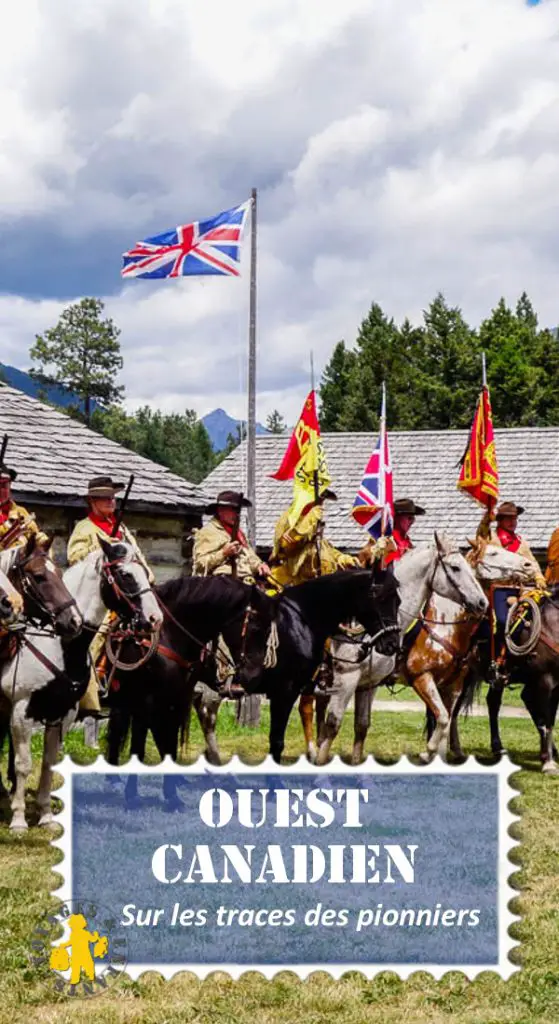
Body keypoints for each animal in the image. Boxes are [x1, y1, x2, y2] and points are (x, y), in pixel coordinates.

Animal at [1, 536, 162, 831]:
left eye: (145, 572)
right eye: (125, 575)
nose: (156, 618)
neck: (60, 647)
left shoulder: (62, 714)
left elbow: (49, 763)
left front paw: (46, 816)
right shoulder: (21, 711)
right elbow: (24, 763)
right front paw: (18, 819)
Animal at [188, 532, 487, 765]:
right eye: (455, 568)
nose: (482, 603)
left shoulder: (369, 685)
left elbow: (363, 726)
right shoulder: (354, 680)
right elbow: (333, 724)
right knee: (208, 713)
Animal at [313, 540, 536, 765]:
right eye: (493, 553)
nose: (528, 565)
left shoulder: (451, 684)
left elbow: (444, 720)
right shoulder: (419, 677)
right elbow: (442, 718)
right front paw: (427, 752)